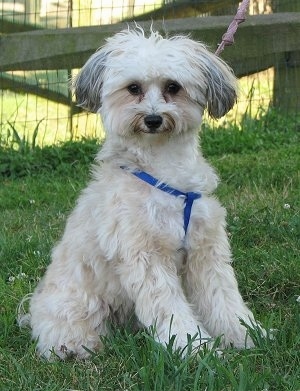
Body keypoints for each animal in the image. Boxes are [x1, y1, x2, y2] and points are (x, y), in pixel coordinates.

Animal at [18, 26, 262, 360]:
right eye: (133, 88)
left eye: (173, 87)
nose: (153, 118)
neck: (161, 169)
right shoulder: (146, 257)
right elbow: (170, 310)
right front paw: (196, 348)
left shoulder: (206, 251)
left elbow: (222, 297)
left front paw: (244, 335)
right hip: (76, 302)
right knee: (62, 327)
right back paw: (75, 345)